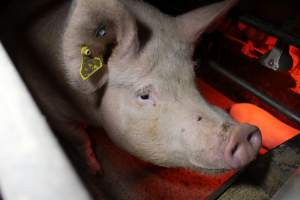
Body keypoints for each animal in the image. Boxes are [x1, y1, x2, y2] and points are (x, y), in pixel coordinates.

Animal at [21, 0, 262, 175]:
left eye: (194, 73)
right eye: (144, 95)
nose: (243, 132)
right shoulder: (51, 108)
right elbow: (79, 138)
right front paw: (95, 172)